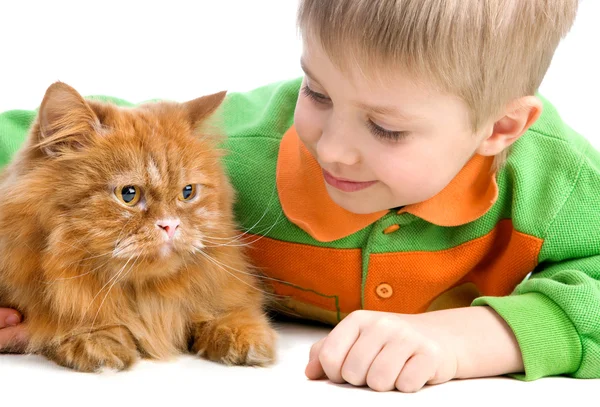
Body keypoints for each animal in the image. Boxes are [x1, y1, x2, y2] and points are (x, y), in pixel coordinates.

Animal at [0, 82, 278, 372]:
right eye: (128, 194)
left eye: (187, 192)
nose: (170, 225)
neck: (147, 297)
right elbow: (75, 315)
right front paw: (96, 340)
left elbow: (229, 310)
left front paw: (244, 337)